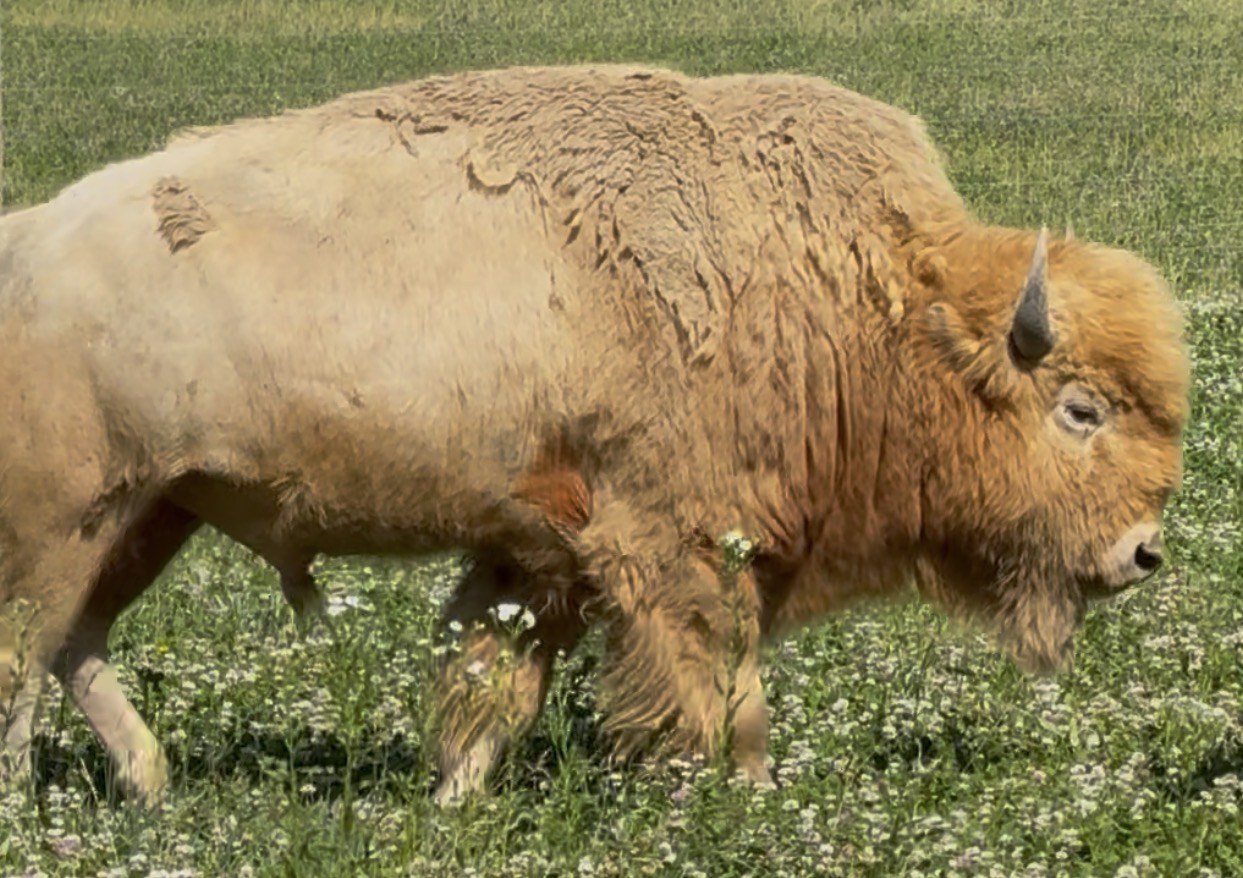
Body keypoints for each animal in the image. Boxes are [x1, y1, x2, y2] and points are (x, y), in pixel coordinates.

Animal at [0, 65, 1189, 806]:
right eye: (1078, 407)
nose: (1141, 551)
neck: (876, 298)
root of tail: (28, 238)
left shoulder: (544, 553)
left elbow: (493, 681)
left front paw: (451, 801)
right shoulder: (687, 549)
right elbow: (723, 695)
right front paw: (743, 801)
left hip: (154, 513)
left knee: (72, 643)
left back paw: (154, 786)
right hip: (73, 520)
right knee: (28, 657)